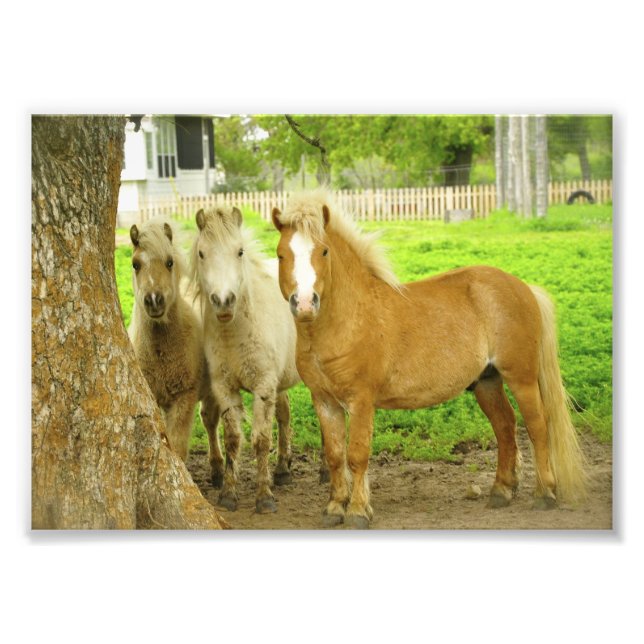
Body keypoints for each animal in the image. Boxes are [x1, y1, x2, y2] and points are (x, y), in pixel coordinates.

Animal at [128, 219, 223, 483]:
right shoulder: (154, 398)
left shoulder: (184, 397)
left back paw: (218, 469)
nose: (154, 300)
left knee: (211, 421)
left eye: (169, 262)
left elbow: (177, 447)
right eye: (135, 264)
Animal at [190, 205, 313, 514]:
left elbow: (260, 440)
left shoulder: (263, 388)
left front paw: (264, 497)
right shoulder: (225, 388)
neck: (237, 332)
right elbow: (233, 439)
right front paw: (228, 494)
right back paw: (282, 469)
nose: (224, 301)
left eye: (240, 251)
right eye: (201, 253)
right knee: (285, 414)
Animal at [271, 188, 587, 529]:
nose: (305, 303)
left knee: (537, 426)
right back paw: (501, 491)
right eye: (281, 254)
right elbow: (334, 455)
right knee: (505, 426)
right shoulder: (325, 401)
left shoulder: (361, 400)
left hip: (522, 378)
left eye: (324, 251)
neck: (348, 321)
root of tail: (524, 287)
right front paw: (334, 509)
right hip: (487, 382)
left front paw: (357, 512)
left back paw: (545, 494)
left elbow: (357, 455)